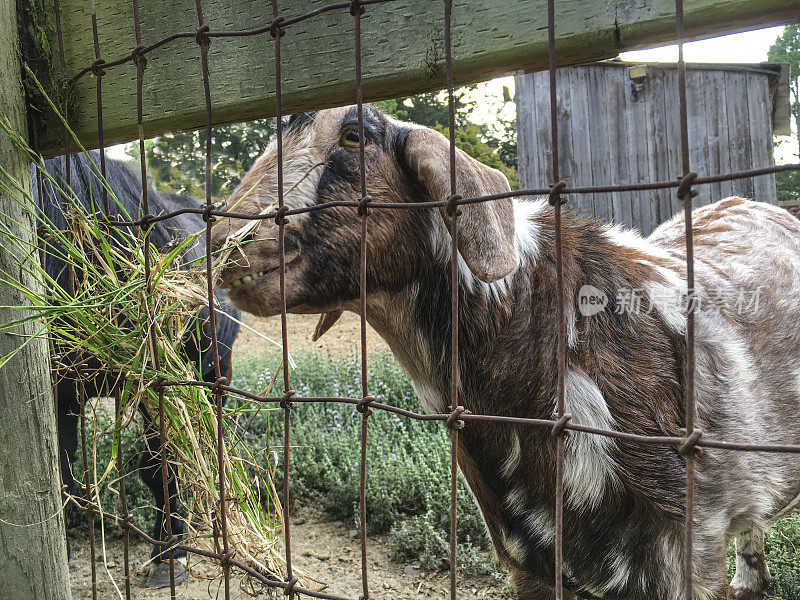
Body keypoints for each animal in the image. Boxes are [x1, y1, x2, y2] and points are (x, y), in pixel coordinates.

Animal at [31, 150, 242, 584]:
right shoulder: (60, 394)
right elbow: (60, 472)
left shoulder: (162, 387)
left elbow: (163, 466)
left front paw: (172, 554)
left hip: (215, 375)